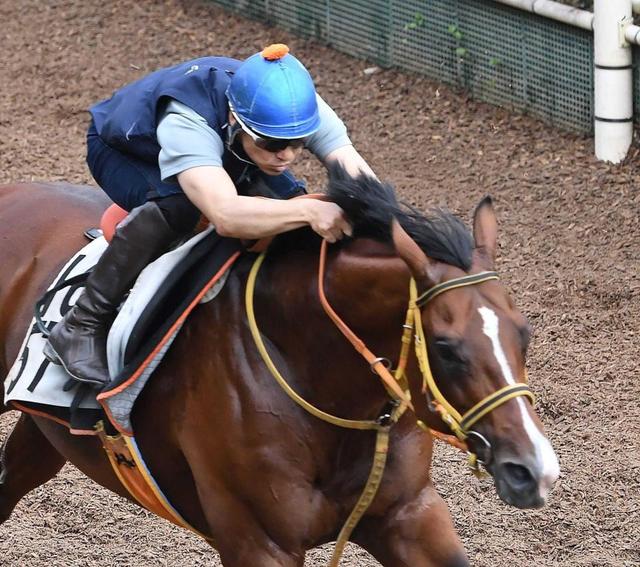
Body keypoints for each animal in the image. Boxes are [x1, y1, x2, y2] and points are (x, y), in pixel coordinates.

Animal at [0, 174, 556, 567]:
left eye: (524, 332)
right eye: (446, 349)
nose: (534, 470)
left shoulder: (408, 514)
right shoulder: (260, 543)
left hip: (45, 431)